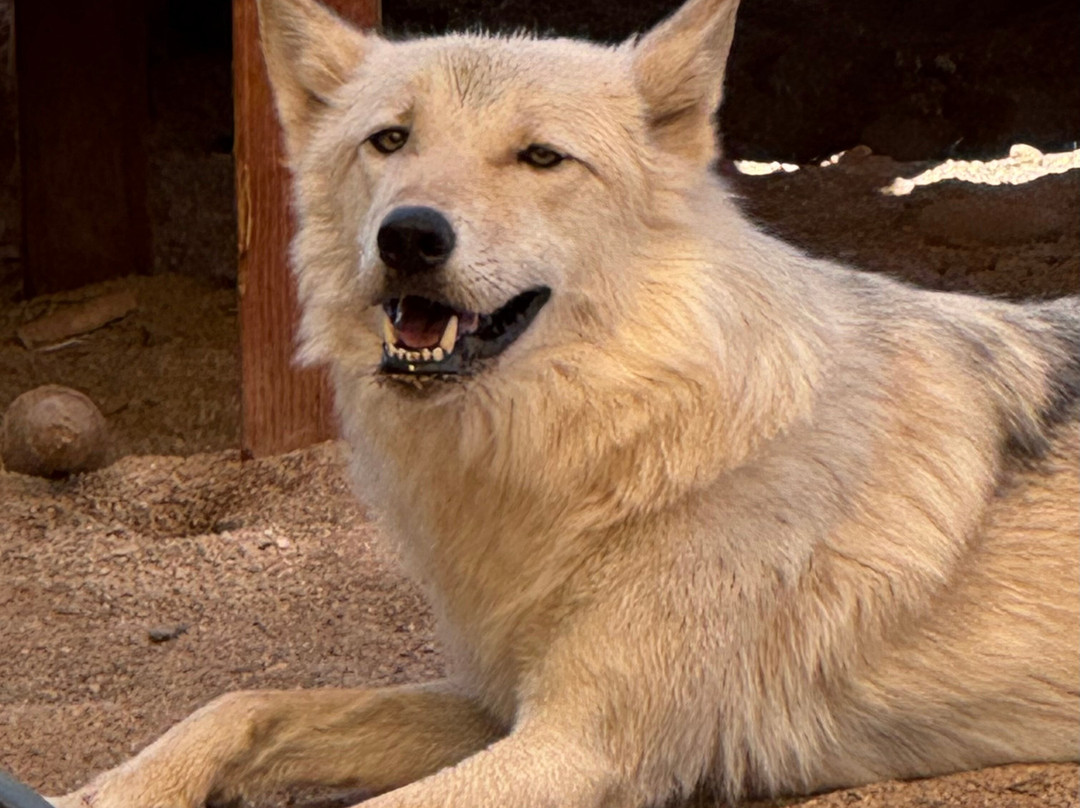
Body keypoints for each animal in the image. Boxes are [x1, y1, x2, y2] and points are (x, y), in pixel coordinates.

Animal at [49, 0, 1079, 805]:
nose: (410, 235)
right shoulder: (498, 703)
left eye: (541, 157)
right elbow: (244, 703)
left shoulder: (578, 745)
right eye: (390, 140)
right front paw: (108, 788)